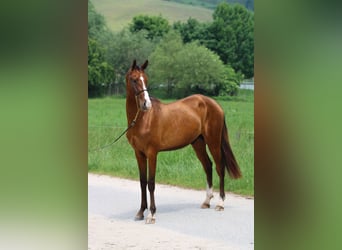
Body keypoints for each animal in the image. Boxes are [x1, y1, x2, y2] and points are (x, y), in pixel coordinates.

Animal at [125, 59, 240, 224]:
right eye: (134, 79)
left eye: (146, 80)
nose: (146, 104)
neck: (143, 120)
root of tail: (214, 104)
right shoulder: (139, 153)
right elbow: (142, 182)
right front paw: (141, 212)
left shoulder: (152, 153)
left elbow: (151, 183)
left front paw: (151, 214)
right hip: (198, 143)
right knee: (208, 166)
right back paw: (207, 201)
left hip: (213, 141)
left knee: (220, 167)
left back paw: (220, 203)